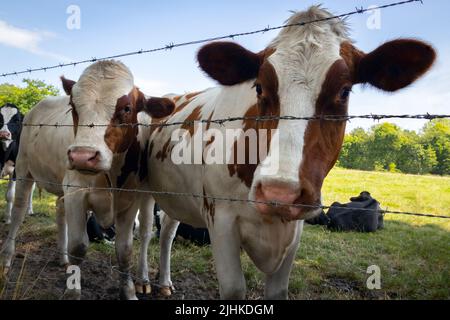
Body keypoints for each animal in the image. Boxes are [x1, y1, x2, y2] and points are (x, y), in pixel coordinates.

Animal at [0, 60, 174, 300]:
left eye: (127, 108)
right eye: (74, 107)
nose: (82, 156)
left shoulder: (128, 200)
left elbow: (125, 249)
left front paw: (129, 292)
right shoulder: (76, 193)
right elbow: (79, 247)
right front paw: (73, 290)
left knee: (59, 211)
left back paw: (62, 258)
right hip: (24, 169)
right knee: (18, 211)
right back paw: (7, 259)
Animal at [149, 6, 436, 298]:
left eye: (344, 91)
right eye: (259, 87)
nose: (279, 193)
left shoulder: (294, 229)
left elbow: (278, 291)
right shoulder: (221, 220)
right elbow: (234, 288)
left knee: (168, 230)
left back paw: (165, 283)